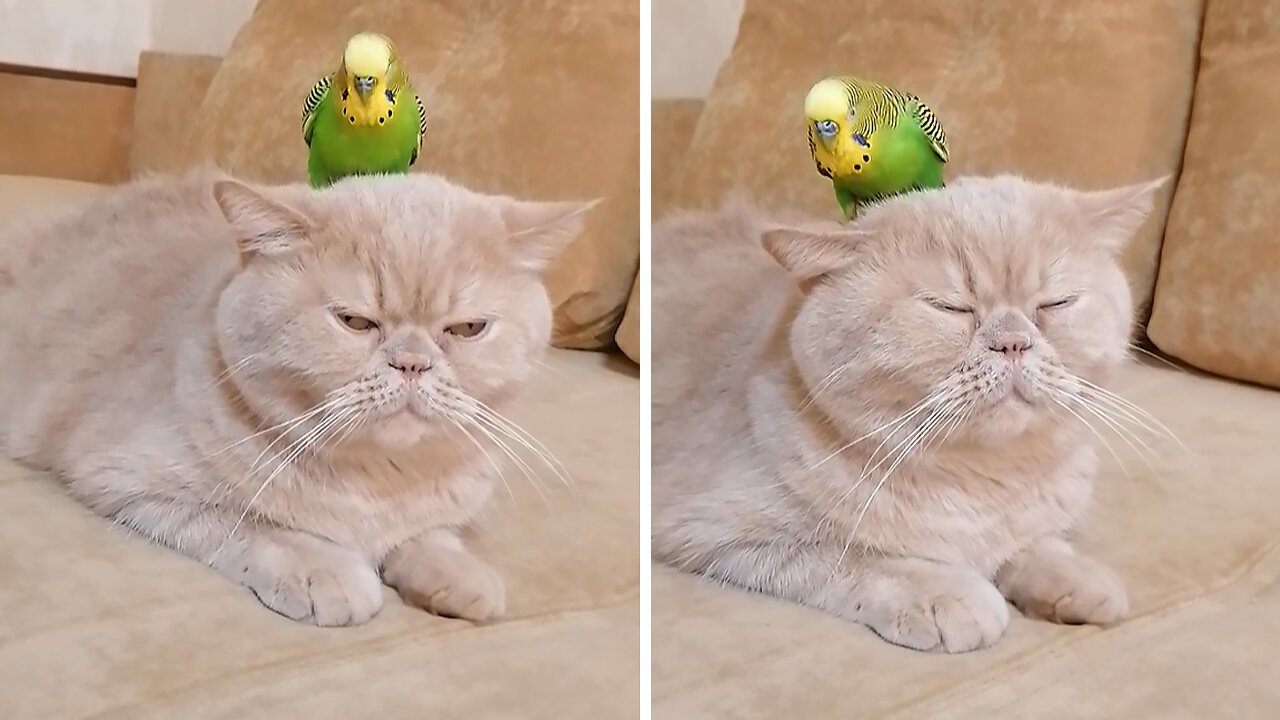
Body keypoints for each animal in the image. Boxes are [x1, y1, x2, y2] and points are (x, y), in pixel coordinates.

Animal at [0, 166, 588, 622]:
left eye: (467, 329)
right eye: (355, 322)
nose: (412, 362)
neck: (378, 482)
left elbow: (430, 532)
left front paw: (455, 571)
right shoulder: (130, 482)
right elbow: (261, 527)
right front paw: (326, 570)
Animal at [655, 174, 1167, 650]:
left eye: (1055, 303)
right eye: (949, 307)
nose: (1013, 343)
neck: (981, 483)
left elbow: (1032, 542)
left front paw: (1072, 575)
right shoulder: (718, 532)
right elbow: (856, 557)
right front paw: (946, 593)